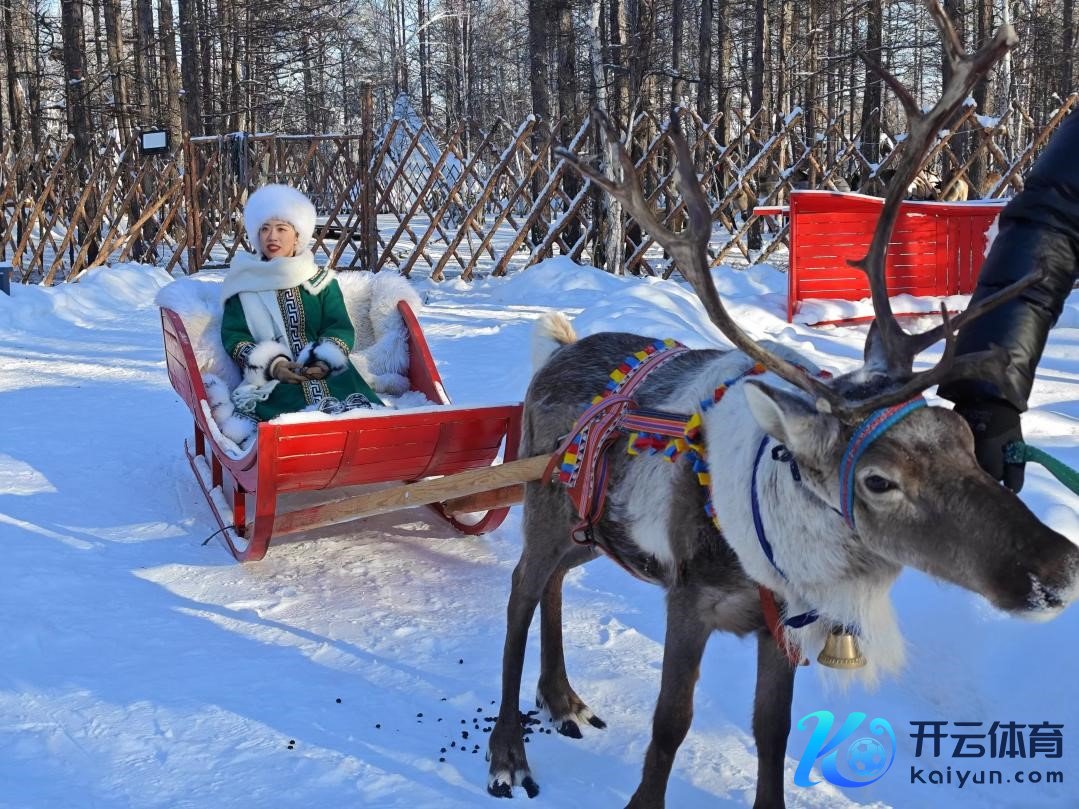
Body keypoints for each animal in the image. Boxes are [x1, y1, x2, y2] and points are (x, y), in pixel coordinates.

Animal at [486, 4, 1079, 808]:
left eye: (963, 434)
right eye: (878, 479)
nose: (1059, 567)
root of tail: (553, 354)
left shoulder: (783, 625)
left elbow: (772, 731)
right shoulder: (691, 598)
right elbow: (669, 726)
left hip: (590, 526)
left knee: (552, 584)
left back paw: (563, 698)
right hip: (541, 503)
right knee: (521, 589)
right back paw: (508, 752)